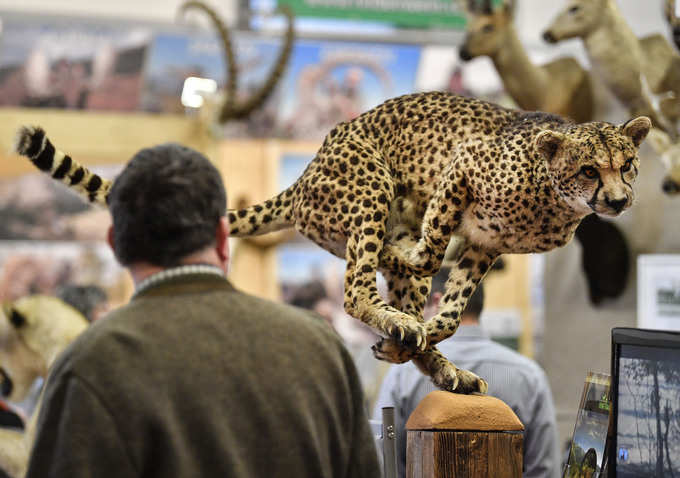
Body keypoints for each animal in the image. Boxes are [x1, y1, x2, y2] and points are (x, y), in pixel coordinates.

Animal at [13, 91, 652, 394]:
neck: (555, 198)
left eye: (627, 165)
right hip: (370, 182)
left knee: (400, 298)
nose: (620, 200)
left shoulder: (483, 247)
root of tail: (306, 170)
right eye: (590, 170)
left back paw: (428, 358)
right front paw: (412, 260)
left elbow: (450, 312)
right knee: (356, 287)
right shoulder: (461, 170)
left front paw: (424, 336)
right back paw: (392, 310)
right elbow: (429, 247)